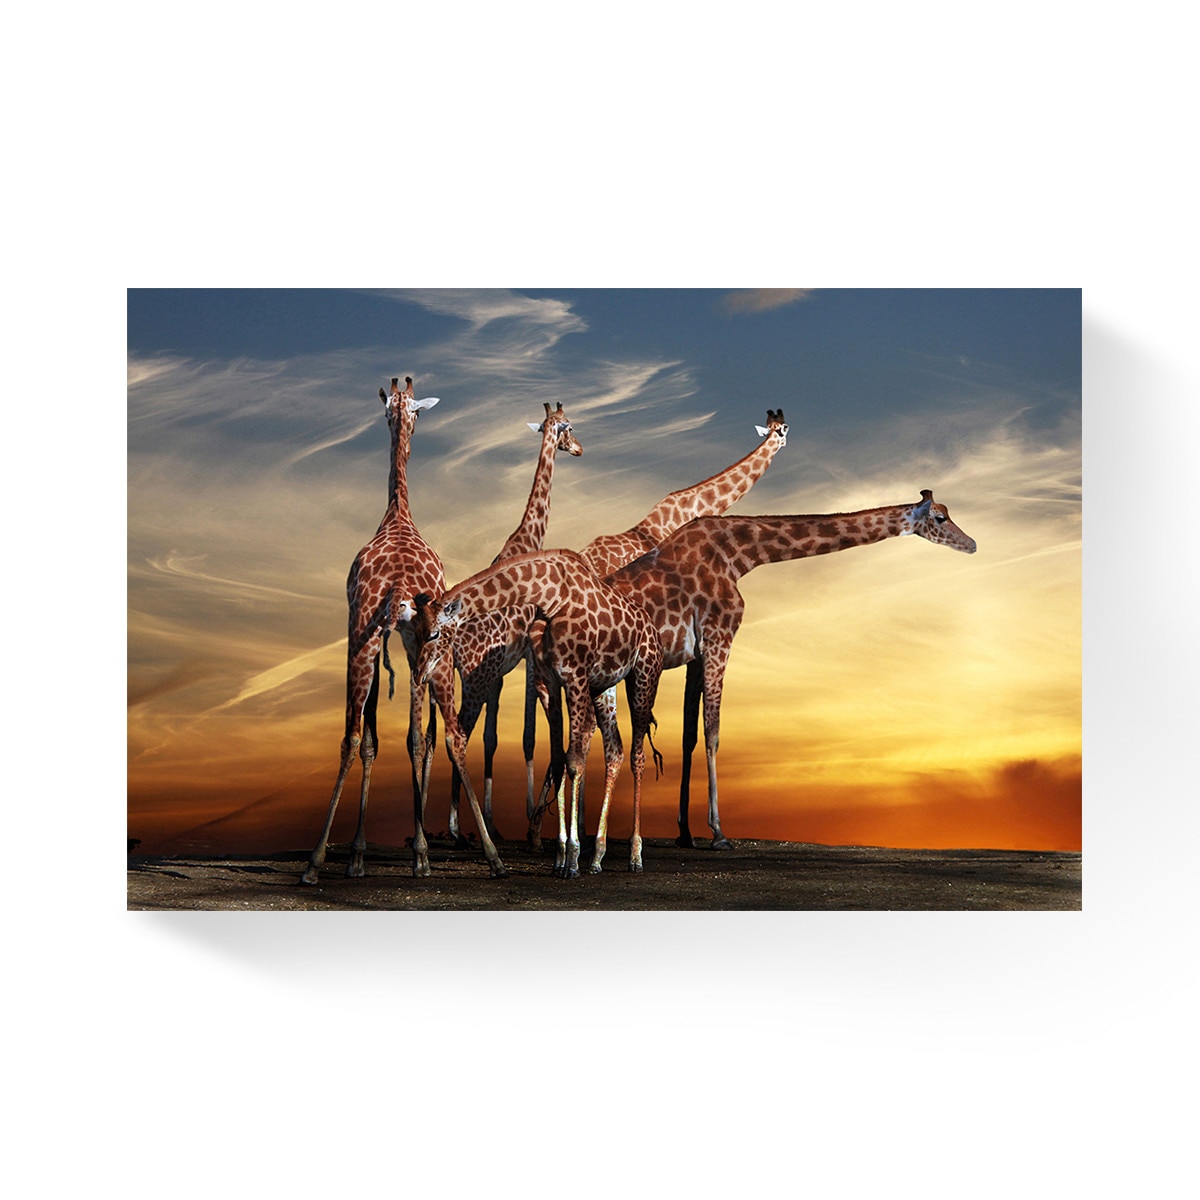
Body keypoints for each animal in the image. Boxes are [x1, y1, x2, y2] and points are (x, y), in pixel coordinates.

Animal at [301, 377, 445, 885]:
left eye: (412, 413)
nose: (405, 423)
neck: (397, 513)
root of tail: (400, 582)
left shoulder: (367, 632)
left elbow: (367, 739)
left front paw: (356, 855)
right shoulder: (396, 638)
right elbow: (391, 738)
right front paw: (363, 854)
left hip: (361, 641)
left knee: (350, 738)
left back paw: (316, 860)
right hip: (415, 646)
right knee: (417, 738)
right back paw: (421, 854)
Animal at [410, 549, 664, 879]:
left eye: (434, 634)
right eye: (415, 633)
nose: (419, 674)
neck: (548, 597)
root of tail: (653, 629)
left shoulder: (574, 675)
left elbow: (574, 762)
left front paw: (571, 861)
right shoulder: (549, 681)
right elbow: (557, 761)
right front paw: (561, 857)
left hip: (644, 676)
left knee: (637, 756)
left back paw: (634, 855)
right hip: (603, 686)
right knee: (615, 750)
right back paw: (597, 857)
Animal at [438, 403, 582, 846]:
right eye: (570, 428)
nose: (580, 449)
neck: (528, 538)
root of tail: (455, 642)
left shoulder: (503, 669)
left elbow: (494, 737)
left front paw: (498, 820)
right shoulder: (526, 658)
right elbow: (528, 733)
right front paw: (528, 825)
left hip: (462, 676)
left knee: (447, 733)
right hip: (475, 678)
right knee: (457, 734)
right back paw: (460, 830)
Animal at [601, 490, 977, 849]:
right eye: (940, 518)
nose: (972, 544)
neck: (739, 555)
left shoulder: (695, 654)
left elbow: (688, 736)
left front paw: (685, 832)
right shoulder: (719, 637)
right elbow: (713, 732)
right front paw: (718, 833)